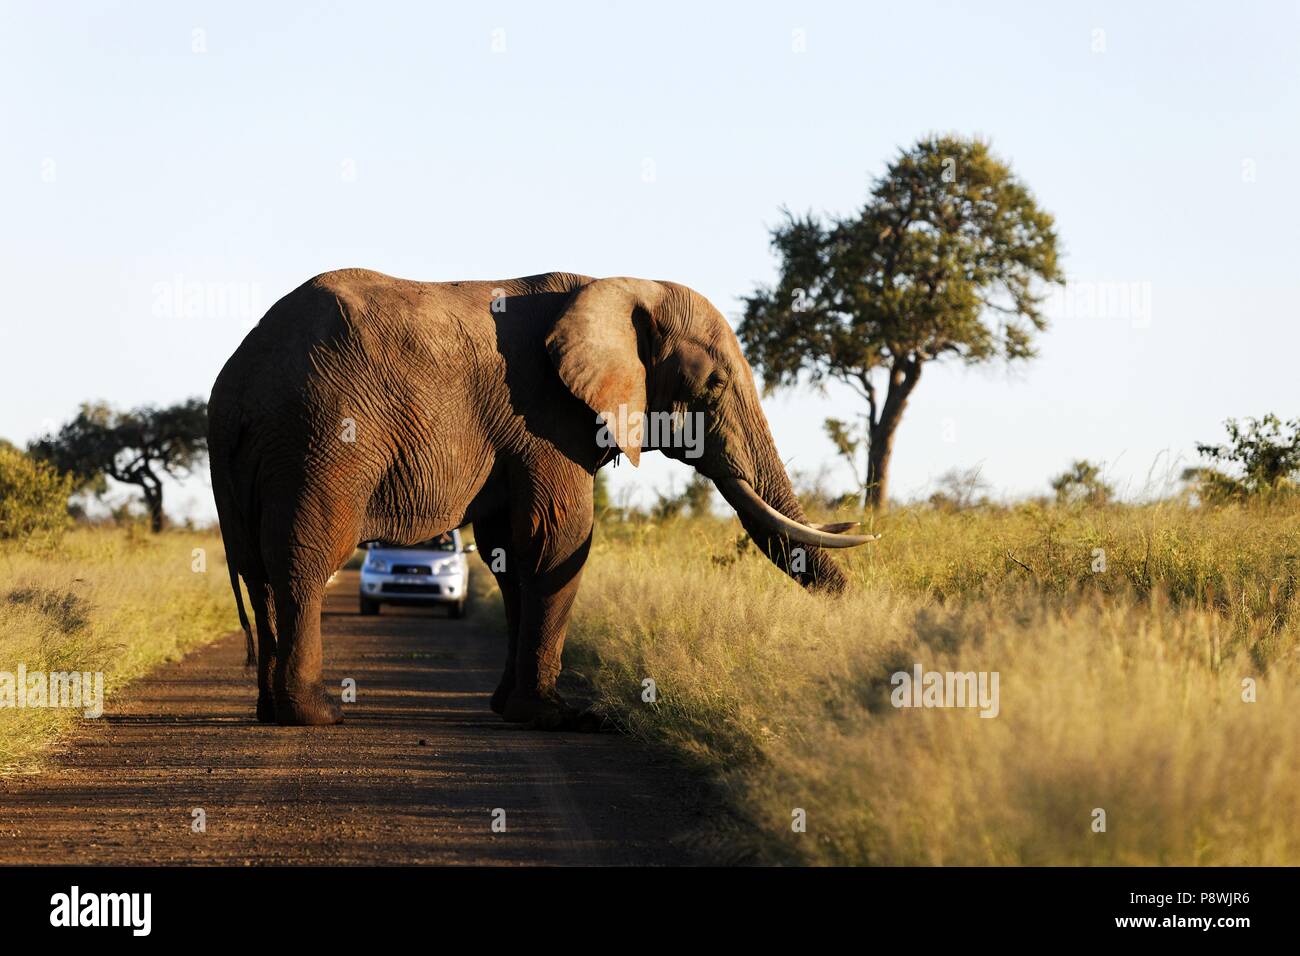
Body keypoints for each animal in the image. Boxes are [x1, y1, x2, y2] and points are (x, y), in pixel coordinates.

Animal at [205, 273, 873, 728]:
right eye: (712, 384)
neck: (615, 285)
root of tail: (236, 384)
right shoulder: (545, 419)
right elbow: (558, 540)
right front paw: (561, 719)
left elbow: (509, 556)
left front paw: (510, 708)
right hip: (320, 442)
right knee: (305, 561)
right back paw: (315, 715)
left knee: (259, 572)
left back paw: (271, 711)